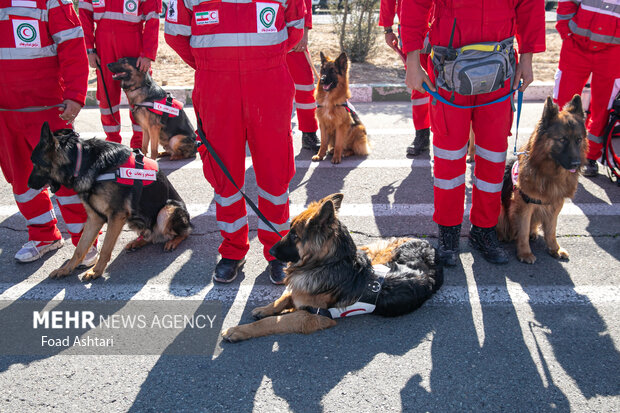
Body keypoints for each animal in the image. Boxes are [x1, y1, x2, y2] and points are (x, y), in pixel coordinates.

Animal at [27, 120, 191, 278]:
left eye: (35, 163)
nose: (28, 184)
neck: (84, 162)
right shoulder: (94, 218)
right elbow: (80, 248)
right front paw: (66, 269)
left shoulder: (116, 216)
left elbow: (105, 248)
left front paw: (95, 271)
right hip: (136, 220)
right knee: (150, 234)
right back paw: (138, 242)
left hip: (167, 210)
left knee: (184, 232)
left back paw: (173, 241)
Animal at [222, 193, 440, 342]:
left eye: (294, 235)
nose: (271, 251)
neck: (325, 264)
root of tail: (430, 246)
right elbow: (283, 298)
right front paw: (265, 308)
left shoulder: (311, 317)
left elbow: (271, 322)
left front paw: (238, 330)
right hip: (377, 253)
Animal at [494, 95, 588, 262]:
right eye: (562, 139)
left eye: (578, 139)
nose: (576, 164)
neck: (549, 174)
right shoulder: (524, 206)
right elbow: (523, 231)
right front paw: (525, 253)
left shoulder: (555, 204)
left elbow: (551, 230)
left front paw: (555, 249)